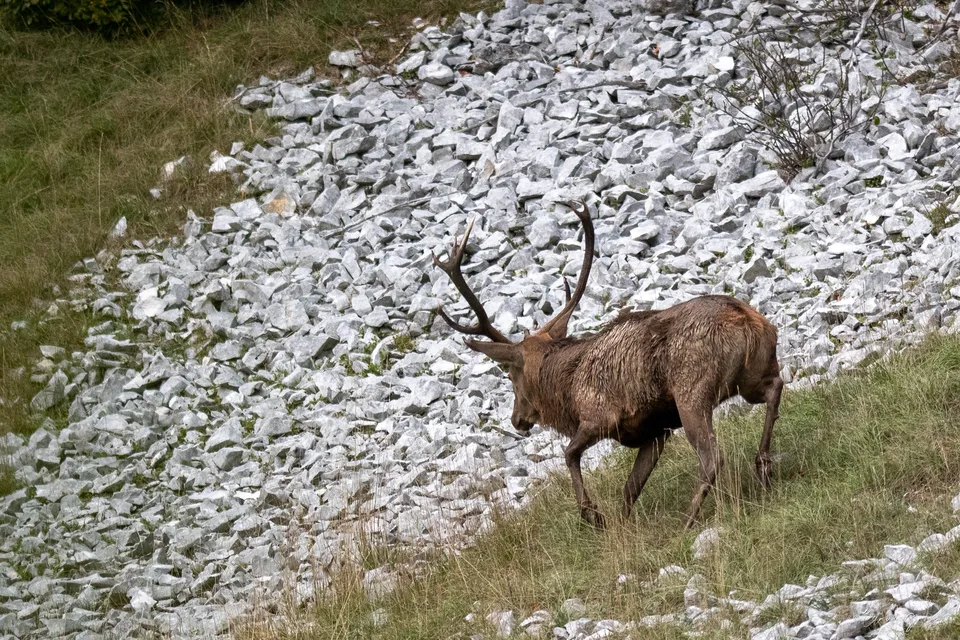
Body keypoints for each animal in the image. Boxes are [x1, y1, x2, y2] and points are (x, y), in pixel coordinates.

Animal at [432, 199, 784, 530]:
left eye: (509, 374)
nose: (517, 419)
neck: (566, 389)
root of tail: (747, 320)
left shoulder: (600, 415)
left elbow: (570, 454)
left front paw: (593, 515)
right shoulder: (656, 432)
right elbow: (630, 488)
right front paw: (620, 526)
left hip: (692, 391)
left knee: (712, 457)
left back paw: (688, 519)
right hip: (752, 373)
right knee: (775, 387)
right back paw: (763, 466)